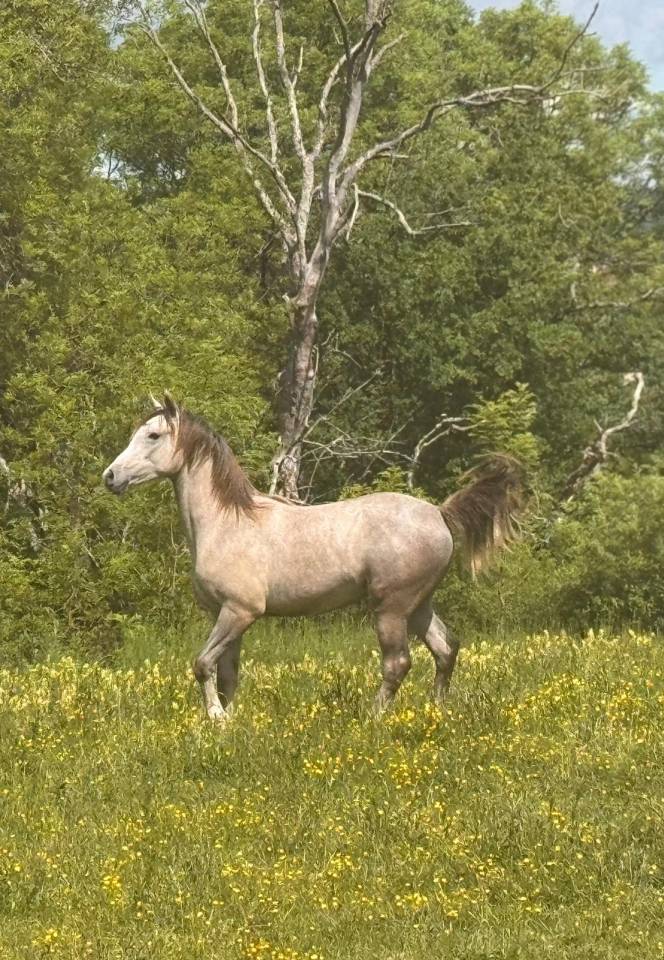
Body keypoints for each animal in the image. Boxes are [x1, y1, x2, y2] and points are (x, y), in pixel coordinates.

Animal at [103, 394, 523, 720]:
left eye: (153, 435)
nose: (110, 477)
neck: (227, 522)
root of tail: (438, 512)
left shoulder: (240, 611)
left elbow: (202, 664)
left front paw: (216, 719)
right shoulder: (225, 614)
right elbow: (227, 674)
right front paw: (230, 720)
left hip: (391, 608)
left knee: (398, 663)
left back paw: (373, 718)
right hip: (419, 605)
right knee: (445, 650)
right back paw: (437, 711)